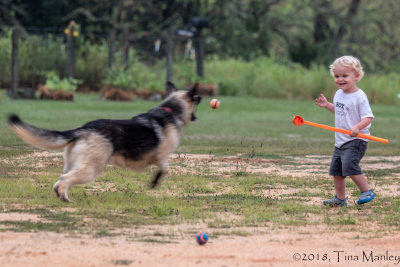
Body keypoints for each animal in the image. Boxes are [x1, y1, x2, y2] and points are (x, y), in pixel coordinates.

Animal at [8, 82, 203, 202]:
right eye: (195, 98)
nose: (201, 96)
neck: (171, 110)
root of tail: (83, 129)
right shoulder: (161, 157)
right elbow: (164, 169)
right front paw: (154, 183)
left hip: (73, 164)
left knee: (60, 179)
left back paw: (60, 195)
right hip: (89, 170)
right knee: (64, 179)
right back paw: (65, 198)